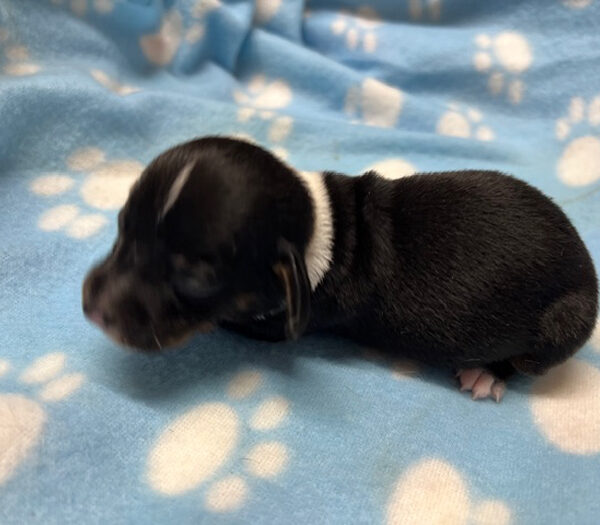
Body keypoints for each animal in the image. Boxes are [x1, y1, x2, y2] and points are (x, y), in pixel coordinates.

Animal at [82, 136, 596, 402]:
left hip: (564, 321)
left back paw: (485, 374)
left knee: (528, 361)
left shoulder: (280, 323)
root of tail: (586, 266)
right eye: (122, 225)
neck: (317, 225)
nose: (91, 307)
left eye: (197, 280)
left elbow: (226, 320)